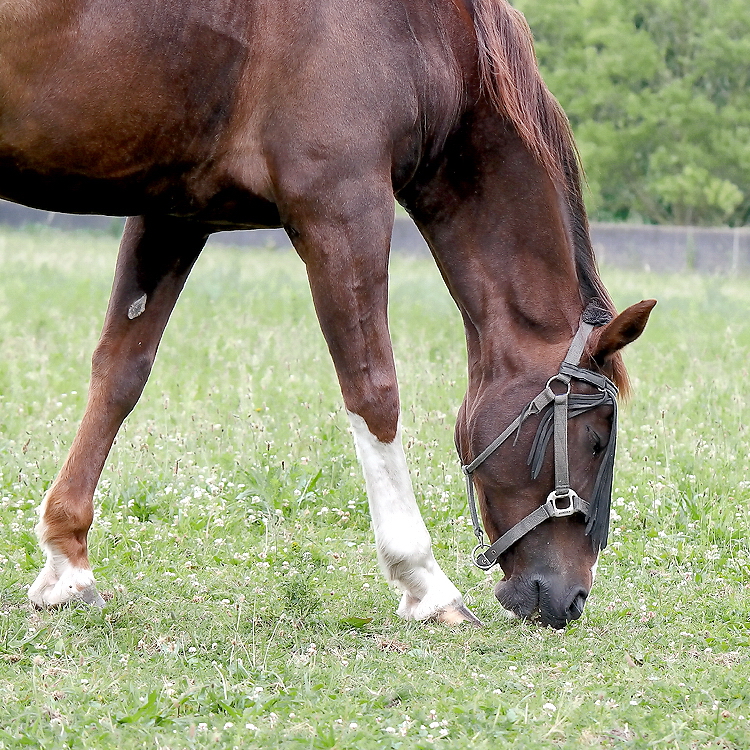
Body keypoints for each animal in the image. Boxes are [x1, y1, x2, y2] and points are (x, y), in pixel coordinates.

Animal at [0, 0, 652, 628]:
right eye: (596, 441)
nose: (571, 600)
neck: (423, 33)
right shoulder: (342, 209)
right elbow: (374, 393)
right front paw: (425, 583)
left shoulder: (173, 214)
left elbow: (120, 373)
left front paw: (66, 565)